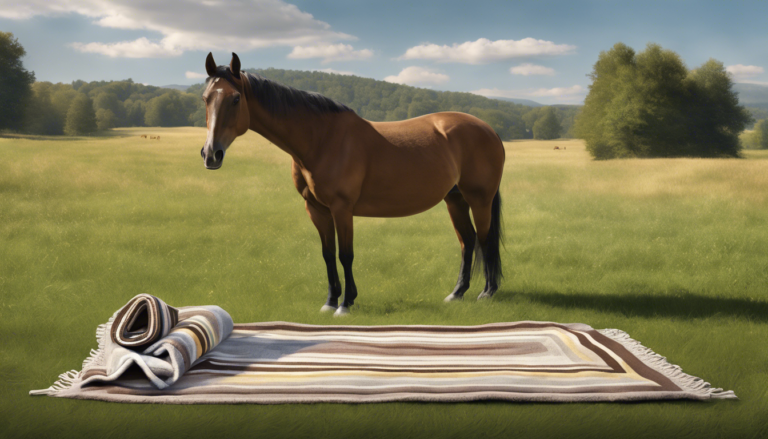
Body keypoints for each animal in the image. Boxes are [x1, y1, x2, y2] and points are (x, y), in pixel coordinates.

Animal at [199, 52, 505, 316]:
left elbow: (346, 255)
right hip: (455, 199)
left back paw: (487, 293)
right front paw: (330, 301)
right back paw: (457, 293)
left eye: (236, 98)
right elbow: (328, 254)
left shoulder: (342, 208)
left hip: (479, 199)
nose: (211, 154)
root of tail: (489, 130)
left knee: (485, 238)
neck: (321, 140)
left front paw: (345, 305)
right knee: (467, 240)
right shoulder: (317, 209)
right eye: (205, 98)